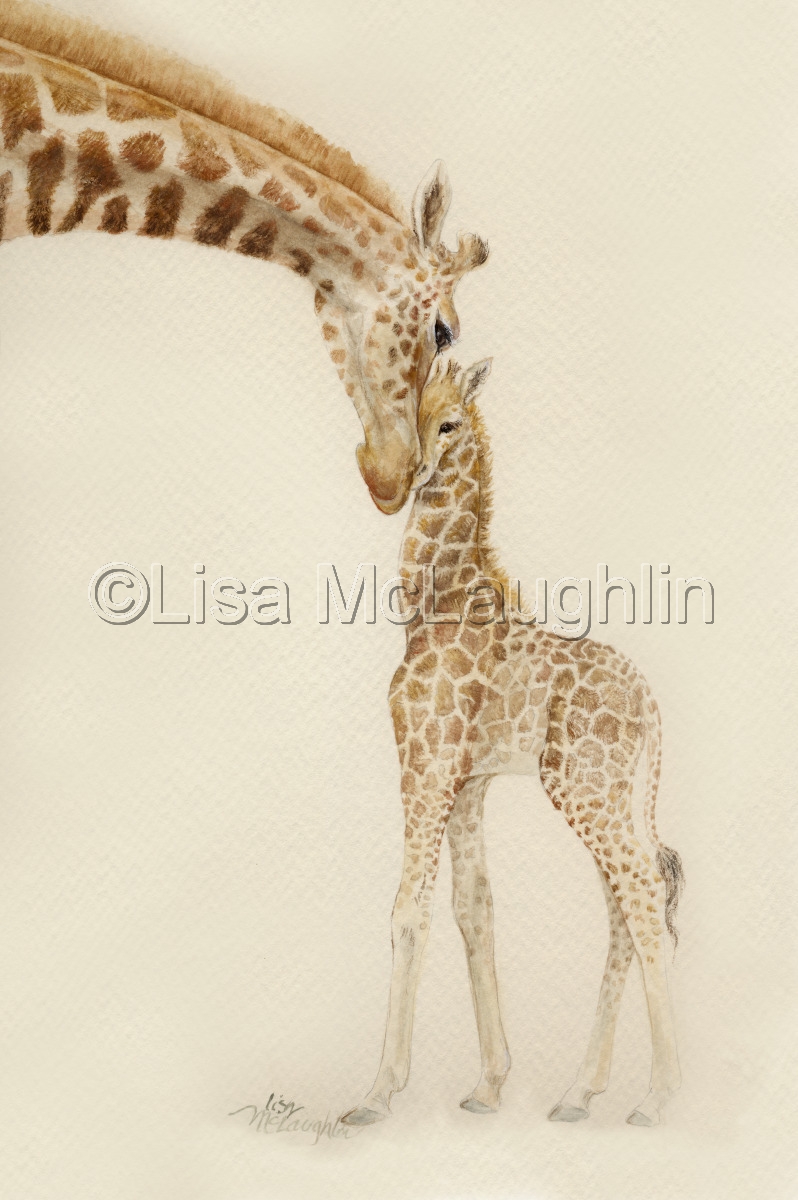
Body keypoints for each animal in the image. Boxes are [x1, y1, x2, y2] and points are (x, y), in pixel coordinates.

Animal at [342, 358, 685, 1129]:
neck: (433, 607)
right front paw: (490, 1084)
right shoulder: (468, 780)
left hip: (584, 788)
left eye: (449, 422)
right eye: (413, 410)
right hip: (605, 792)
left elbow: (408, 911)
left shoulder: (425, 763)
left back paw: (658, 1099)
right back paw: (578, 1093)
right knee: (627, 901)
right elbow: (474, 908)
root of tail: (650, 704)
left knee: (645, 893)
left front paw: (377, 1092)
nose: (404, 475)